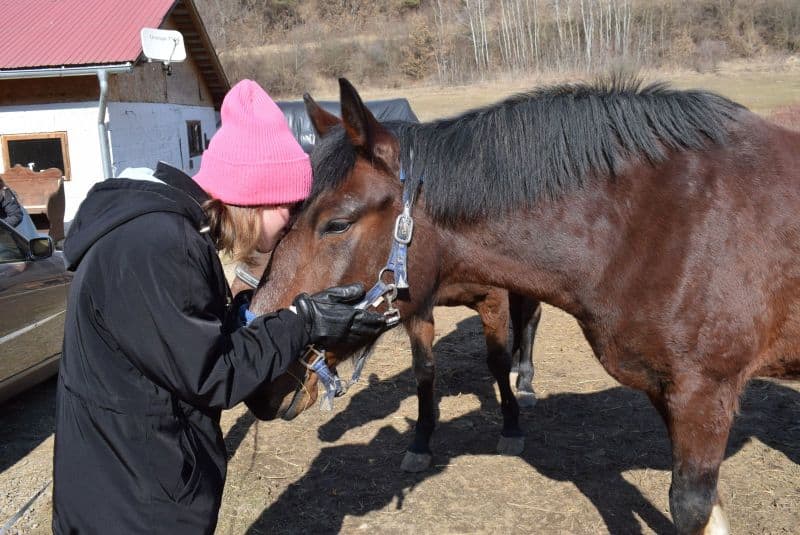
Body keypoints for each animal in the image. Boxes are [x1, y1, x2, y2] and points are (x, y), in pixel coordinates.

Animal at [234, 249, 540, 472]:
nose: (260, 399)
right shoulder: (418, 308)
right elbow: (424, 370)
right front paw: (420, 443)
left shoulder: (493, 299)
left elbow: (497, 361)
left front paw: (511, 428)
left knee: (529, 320)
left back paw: (524, 381)